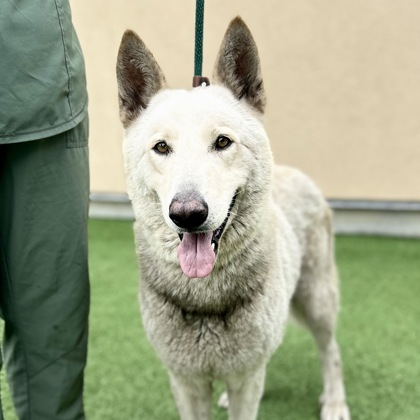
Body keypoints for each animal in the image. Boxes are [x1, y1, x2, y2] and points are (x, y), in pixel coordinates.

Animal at [116, 14, 350, 418]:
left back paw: (335, 402)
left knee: (330, 351)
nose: (187, 214)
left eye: (222, 142)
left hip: (317, 300)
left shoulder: (246, 377)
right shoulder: (186, 382)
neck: (206, 298)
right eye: (161, 147)